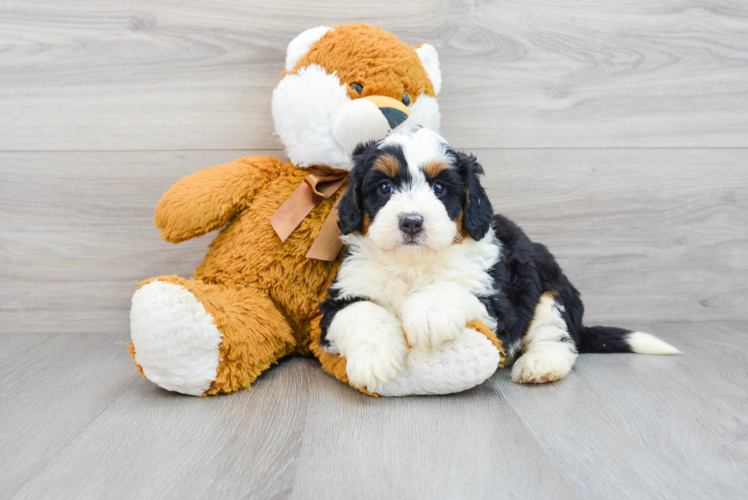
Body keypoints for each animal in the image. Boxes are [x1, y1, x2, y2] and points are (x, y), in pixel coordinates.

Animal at [318, 127, 680, 392]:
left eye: (439, 187)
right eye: (384, 187)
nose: (411, 222)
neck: (413, 265)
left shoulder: (497, 301)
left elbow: (452, 290)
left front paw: (428, 313)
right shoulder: (342, 296)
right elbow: (363, 312)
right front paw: (373, 360)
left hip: (552, 289)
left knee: (557, 335)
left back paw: (541, 365)